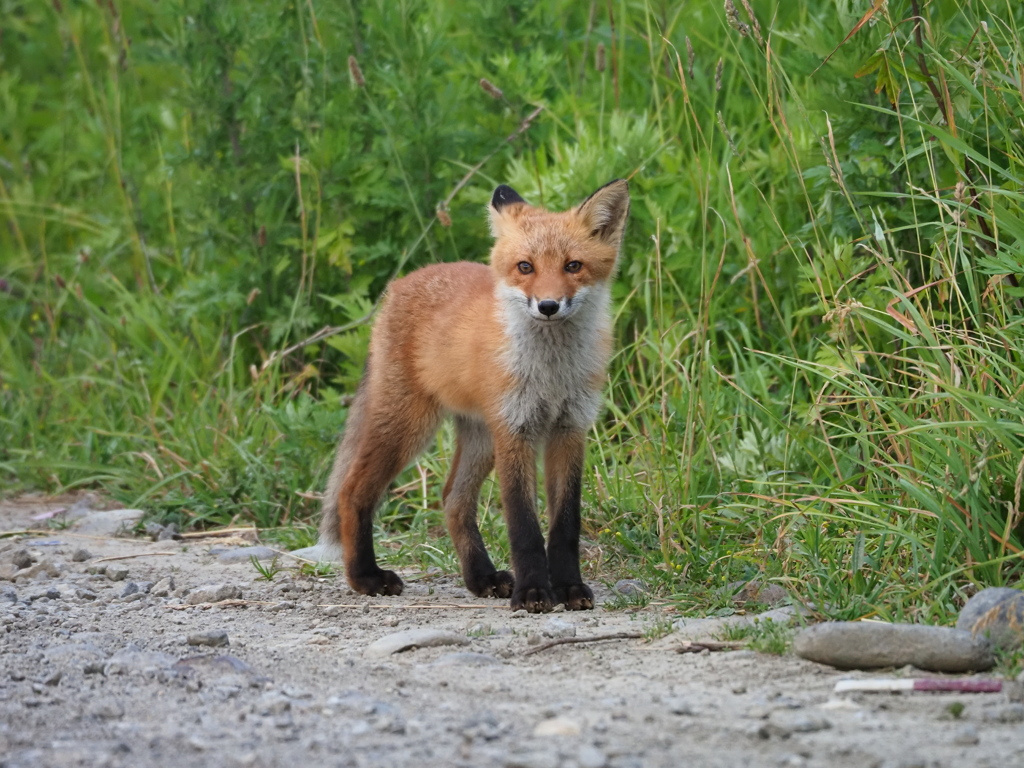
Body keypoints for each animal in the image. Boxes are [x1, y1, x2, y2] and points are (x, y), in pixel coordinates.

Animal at [296, 179, 626, 614]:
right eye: (525, 267)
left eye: (573, 266)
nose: (548, 306)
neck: (551, 373)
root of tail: (400, 285)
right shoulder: (515, 430)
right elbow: (524, 526)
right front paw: (533, 592)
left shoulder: (569, 429)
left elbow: (565, 524)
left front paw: (569, 587)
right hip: (410, 426)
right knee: (352, 491)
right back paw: (365, 577)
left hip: (479, 438)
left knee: (452, 499)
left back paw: (481, 578)